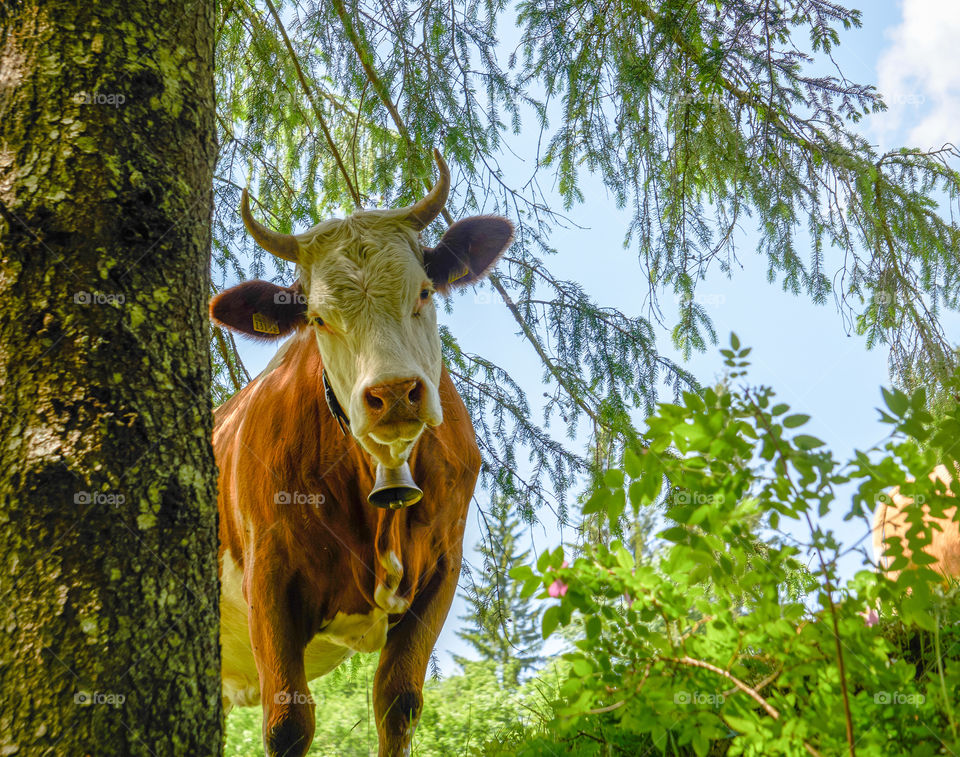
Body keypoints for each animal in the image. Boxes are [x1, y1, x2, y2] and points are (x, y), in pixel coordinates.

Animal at [209, 150, 513, 757]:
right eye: (317, 318)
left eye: (424, 292)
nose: (393, 392)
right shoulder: (268, 579)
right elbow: (288, 723)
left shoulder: (442, 568)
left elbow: (398, 703)